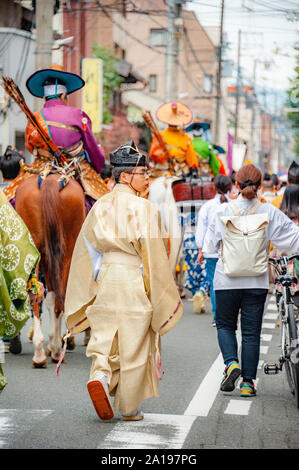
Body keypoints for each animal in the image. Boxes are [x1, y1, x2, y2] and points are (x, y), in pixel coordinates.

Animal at [14, 173, 86, 368]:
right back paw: (53, 350)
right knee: (58, 298)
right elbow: (53, 297)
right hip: (67, 251)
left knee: (37, 295)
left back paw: (41, 352)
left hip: (37, 248)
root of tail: (50, 181)